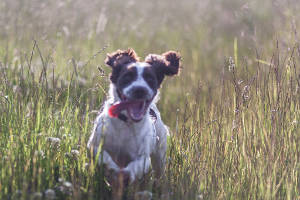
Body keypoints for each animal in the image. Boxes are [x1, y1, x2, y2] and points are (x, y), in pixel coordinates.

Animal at [86, 48, 180, 189]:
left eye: (150, 79)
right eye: (127, 77)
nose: (139, 90)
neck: (126, 122)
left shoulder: (144, 158)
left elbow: (136, 166)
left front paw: (124, 176)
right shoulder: (94, 146)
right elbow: (104, 158)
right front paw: (113, 171)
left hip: (159, 155)